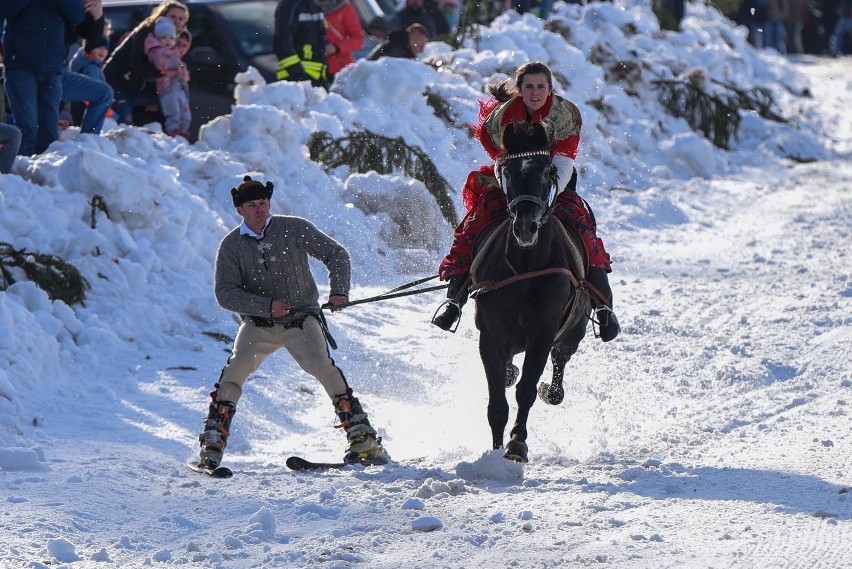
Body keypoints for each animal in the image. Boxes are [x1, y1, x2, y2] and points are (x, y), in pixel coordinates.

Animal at [466, 120, 592, 462]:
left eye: (547, 171)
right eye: (507, 172)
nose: (525, 227)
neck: (524, 268)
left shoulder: (542, 332)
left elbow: (526, 390)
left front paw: (516, 445)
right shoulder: (490, 337)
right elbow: (497, 402)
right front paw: (495, 452)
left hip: (574, 330)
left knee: (560, 361)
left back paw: (552, 390)